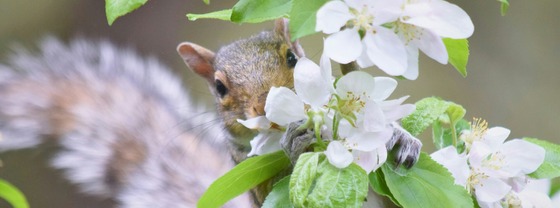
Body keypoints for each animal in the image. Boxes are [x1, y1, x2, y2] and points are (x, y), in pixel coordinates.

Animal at [0, 18, 420, 207]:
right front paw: (294, 143)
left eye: (292, 58)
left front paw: (400, 137)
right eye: (219, 88)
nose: (266, 105)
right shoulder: (246, 168)